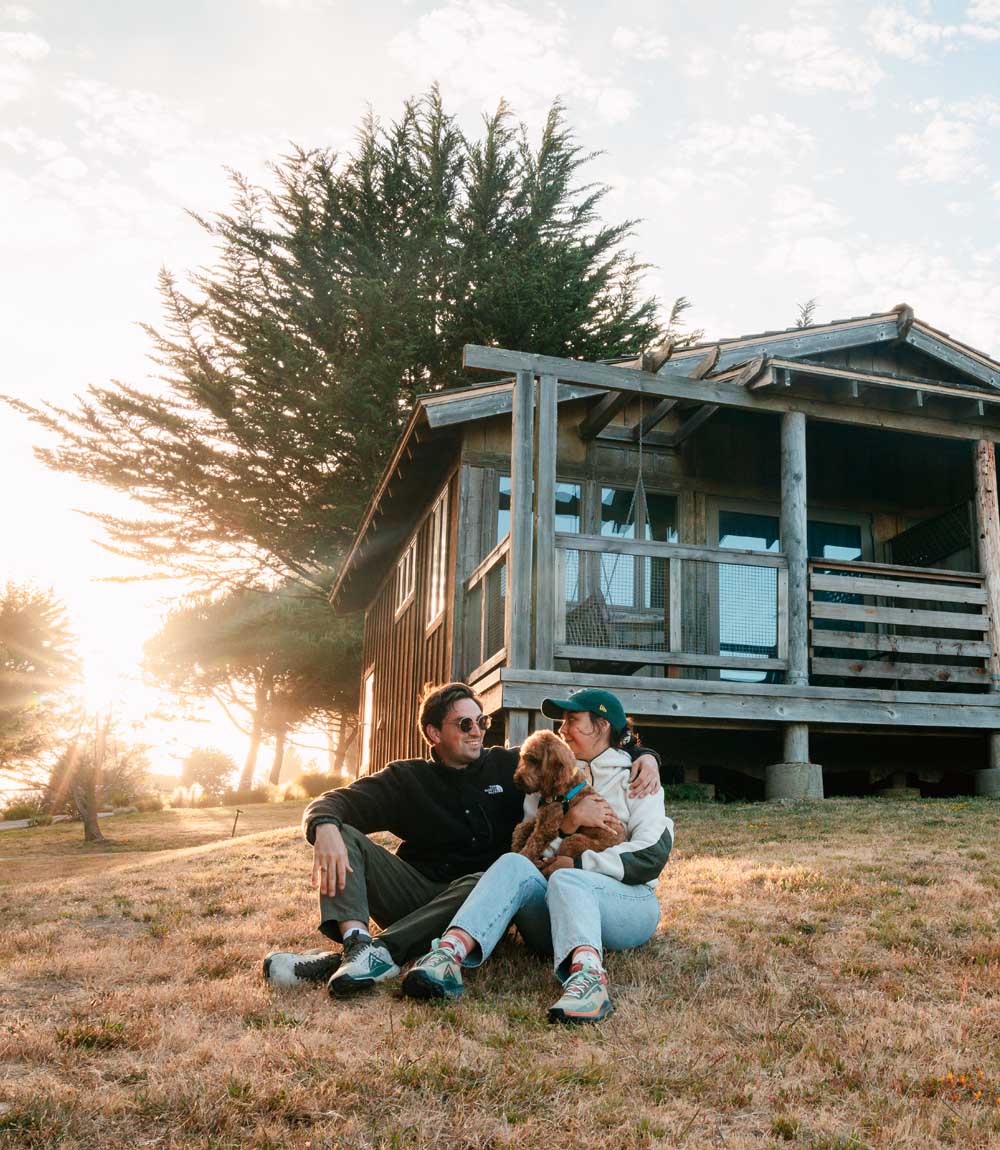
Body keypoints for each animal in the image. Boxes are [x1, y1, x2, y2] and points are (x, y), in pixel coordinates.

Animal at [512, 731, 620, 864]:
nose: (517, 781)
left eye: (534, 760)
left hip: (574, 841)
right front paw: (516, 844)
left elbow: (531, 847)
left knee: (559, 859)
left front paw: (521, 854)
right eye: (523, 758)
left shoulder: (547, 828)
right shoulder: (541, 817)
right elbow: (521, 827)